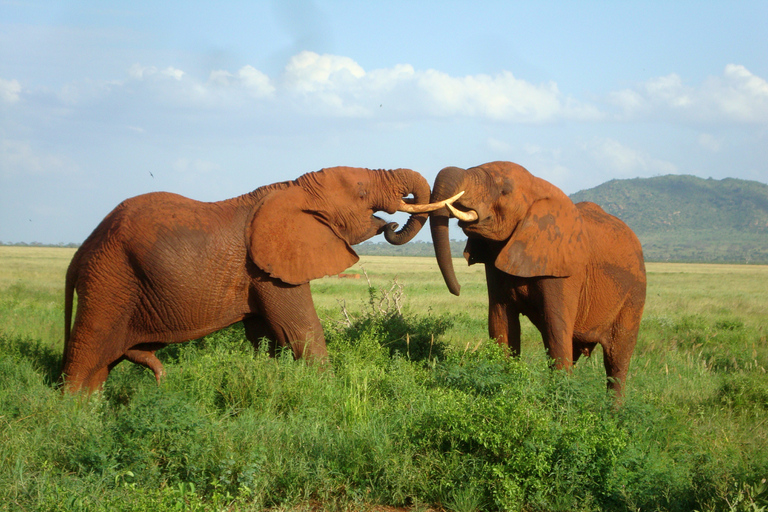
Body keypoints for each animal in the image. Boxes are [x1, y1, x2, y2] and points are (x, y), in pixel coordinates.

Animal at [60, 166, 432, 394]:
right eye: (361, 193)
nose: (390, 225)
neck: (294, 189)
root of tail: (80, 253)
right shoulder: (268, 270)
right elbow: (299, 331)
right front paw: (327, 394)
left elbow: (267, 338)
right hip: (110, 280)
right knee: (88, 350)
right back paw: (74, 418)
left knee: (99, 365)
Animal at [416, 162, 644, 398]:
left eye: (504, 190)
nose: (458, 289)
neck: (538, 186)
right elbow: (501, 323)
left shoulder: (563, 267)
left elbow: (556, 330)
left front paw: (557, 402)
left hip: (635, 292)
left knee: (617, 358)